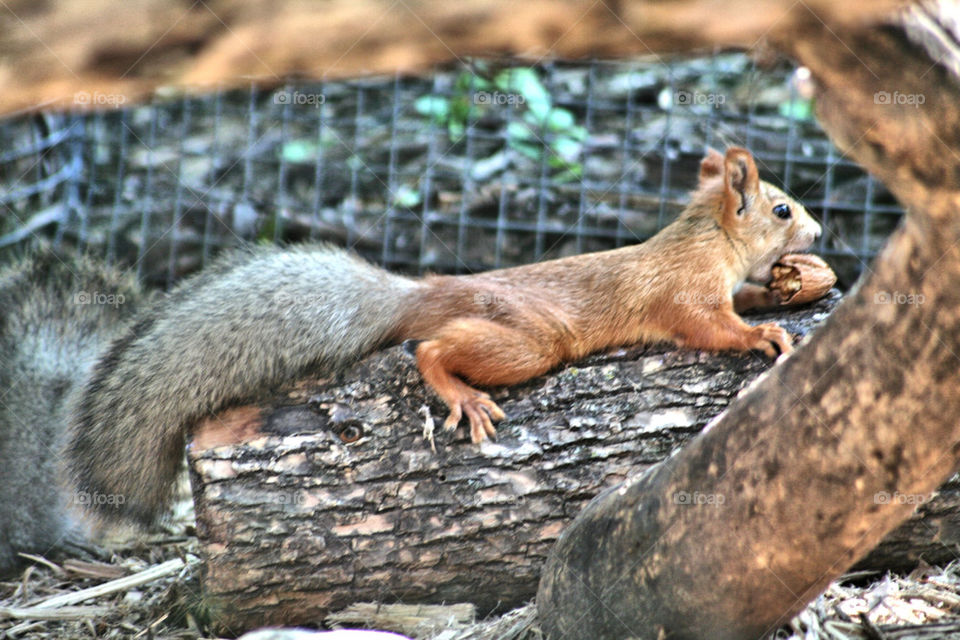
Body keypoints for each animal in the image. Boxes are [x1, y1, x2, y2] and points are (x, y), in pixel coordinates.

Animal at [0, 146, 821, 570]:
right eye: (782, 208)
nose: (815, 231)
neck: (704, 239)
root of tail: (422, 294)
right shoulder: (683, 296)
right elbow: (707, 327)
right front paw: (761, 336)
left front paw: (784, 291)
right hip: (526, 339)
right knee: (428, 347)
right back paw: (457, 392)